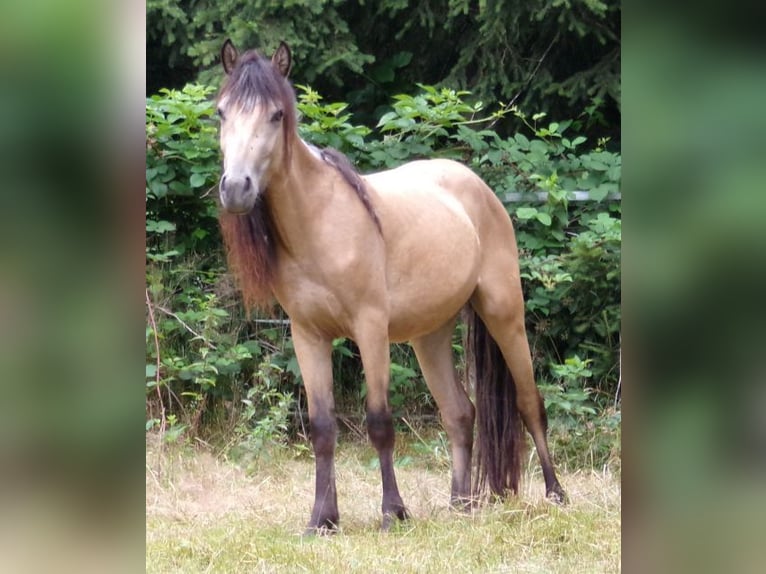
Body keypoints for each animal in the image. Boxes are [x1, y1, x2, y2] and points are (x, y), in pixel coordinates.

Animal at [213, 39, 568, 536]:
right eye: (221, 112)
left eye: (276, 115)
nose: (236, 188)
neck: (318, 223)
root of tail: (478, 187)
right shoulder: (308, 336)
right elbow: (322, 428)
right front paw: (322, 519)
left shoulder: (370, 329)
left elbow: (379, 421)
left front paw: (392, 512)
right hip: (429, 335)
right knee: (459, 413)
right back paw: (460, 503)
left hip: (504, 314)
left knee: (529, 401)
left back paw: (556, 494)